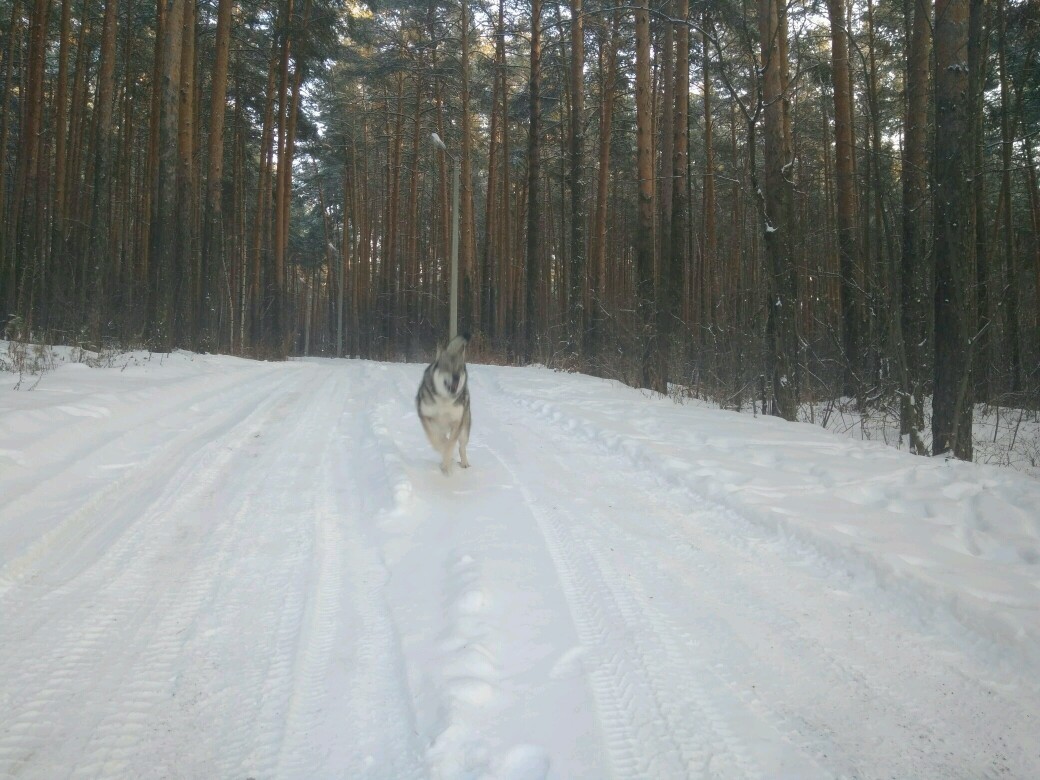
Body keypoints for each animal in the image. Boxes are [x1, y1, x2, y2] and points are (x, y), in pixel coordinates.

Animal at [418, 332, 476, 474]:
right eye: (447, 367)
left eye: (459, 369)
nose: (456, 377)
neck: (444, 400)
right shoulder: (425, 416)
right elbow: (436, 440)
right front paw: (443, 455)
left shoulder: (457, 422)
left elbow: (450, 445)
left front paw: (446, 465)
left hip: (464, 429)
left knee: (461, 446)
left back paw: (464, 463)